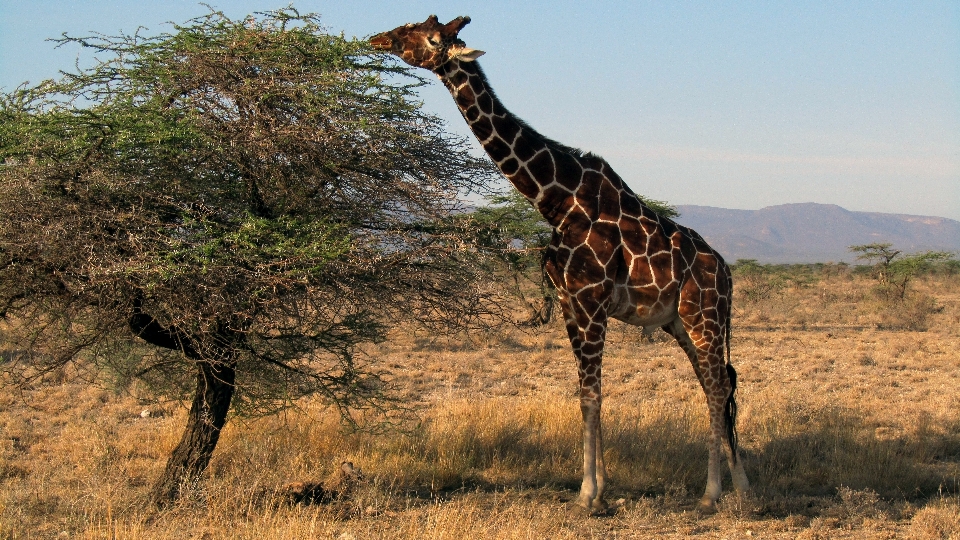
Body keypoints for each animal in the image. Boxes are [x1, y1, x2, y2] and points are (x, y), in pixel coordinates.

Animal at [370, 14, 752, 512]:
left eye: (432, 38)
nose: (379, 38)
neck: (554, 199)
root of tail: (725, 272)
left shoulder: (590, 300)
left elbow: (591, 395)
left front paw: (587, 494)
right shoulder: (570, 302)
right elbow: (587, 393)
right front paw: (600, 488)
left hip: (703, 315)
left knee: (719, 386)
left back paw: (721, 494)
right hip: (681, 324)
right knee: (716, 385)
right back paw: (731, 489)